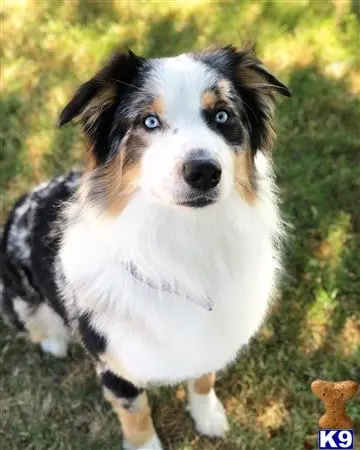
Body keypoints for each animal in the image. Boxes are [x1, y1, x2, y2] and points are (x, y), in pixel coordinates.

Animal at [0, 44, 290, 448]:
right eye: (148, 122)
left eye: (222, 115)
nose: (203, 172)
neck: (183, 243)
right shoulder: (115, 367)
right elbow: (136, 416)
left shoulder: (210, 341)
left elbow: (204, 379)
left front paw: (208, 417)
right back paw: (53, 341)